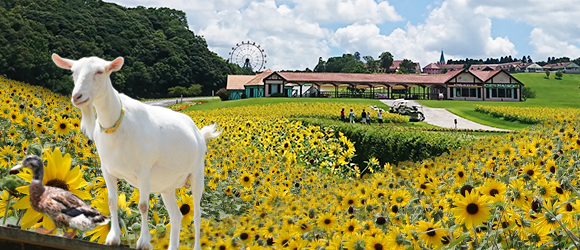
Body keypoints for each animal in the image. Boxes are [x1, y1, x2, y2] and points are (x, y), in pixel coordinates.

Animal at [51, 54, 220, 250]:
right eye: (73, 72)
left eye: (100, 71)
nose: (77, 96)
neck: (116, 125)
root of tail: (199, 133)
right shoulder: (107, 170)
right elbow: (112, 202)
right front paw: (113, 237)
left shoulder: (144, 171)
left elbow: (143, 205)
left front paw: (144, 242)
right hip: (167, 186)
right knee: (176, 216)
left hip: (197, 174)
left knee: (198, 214)